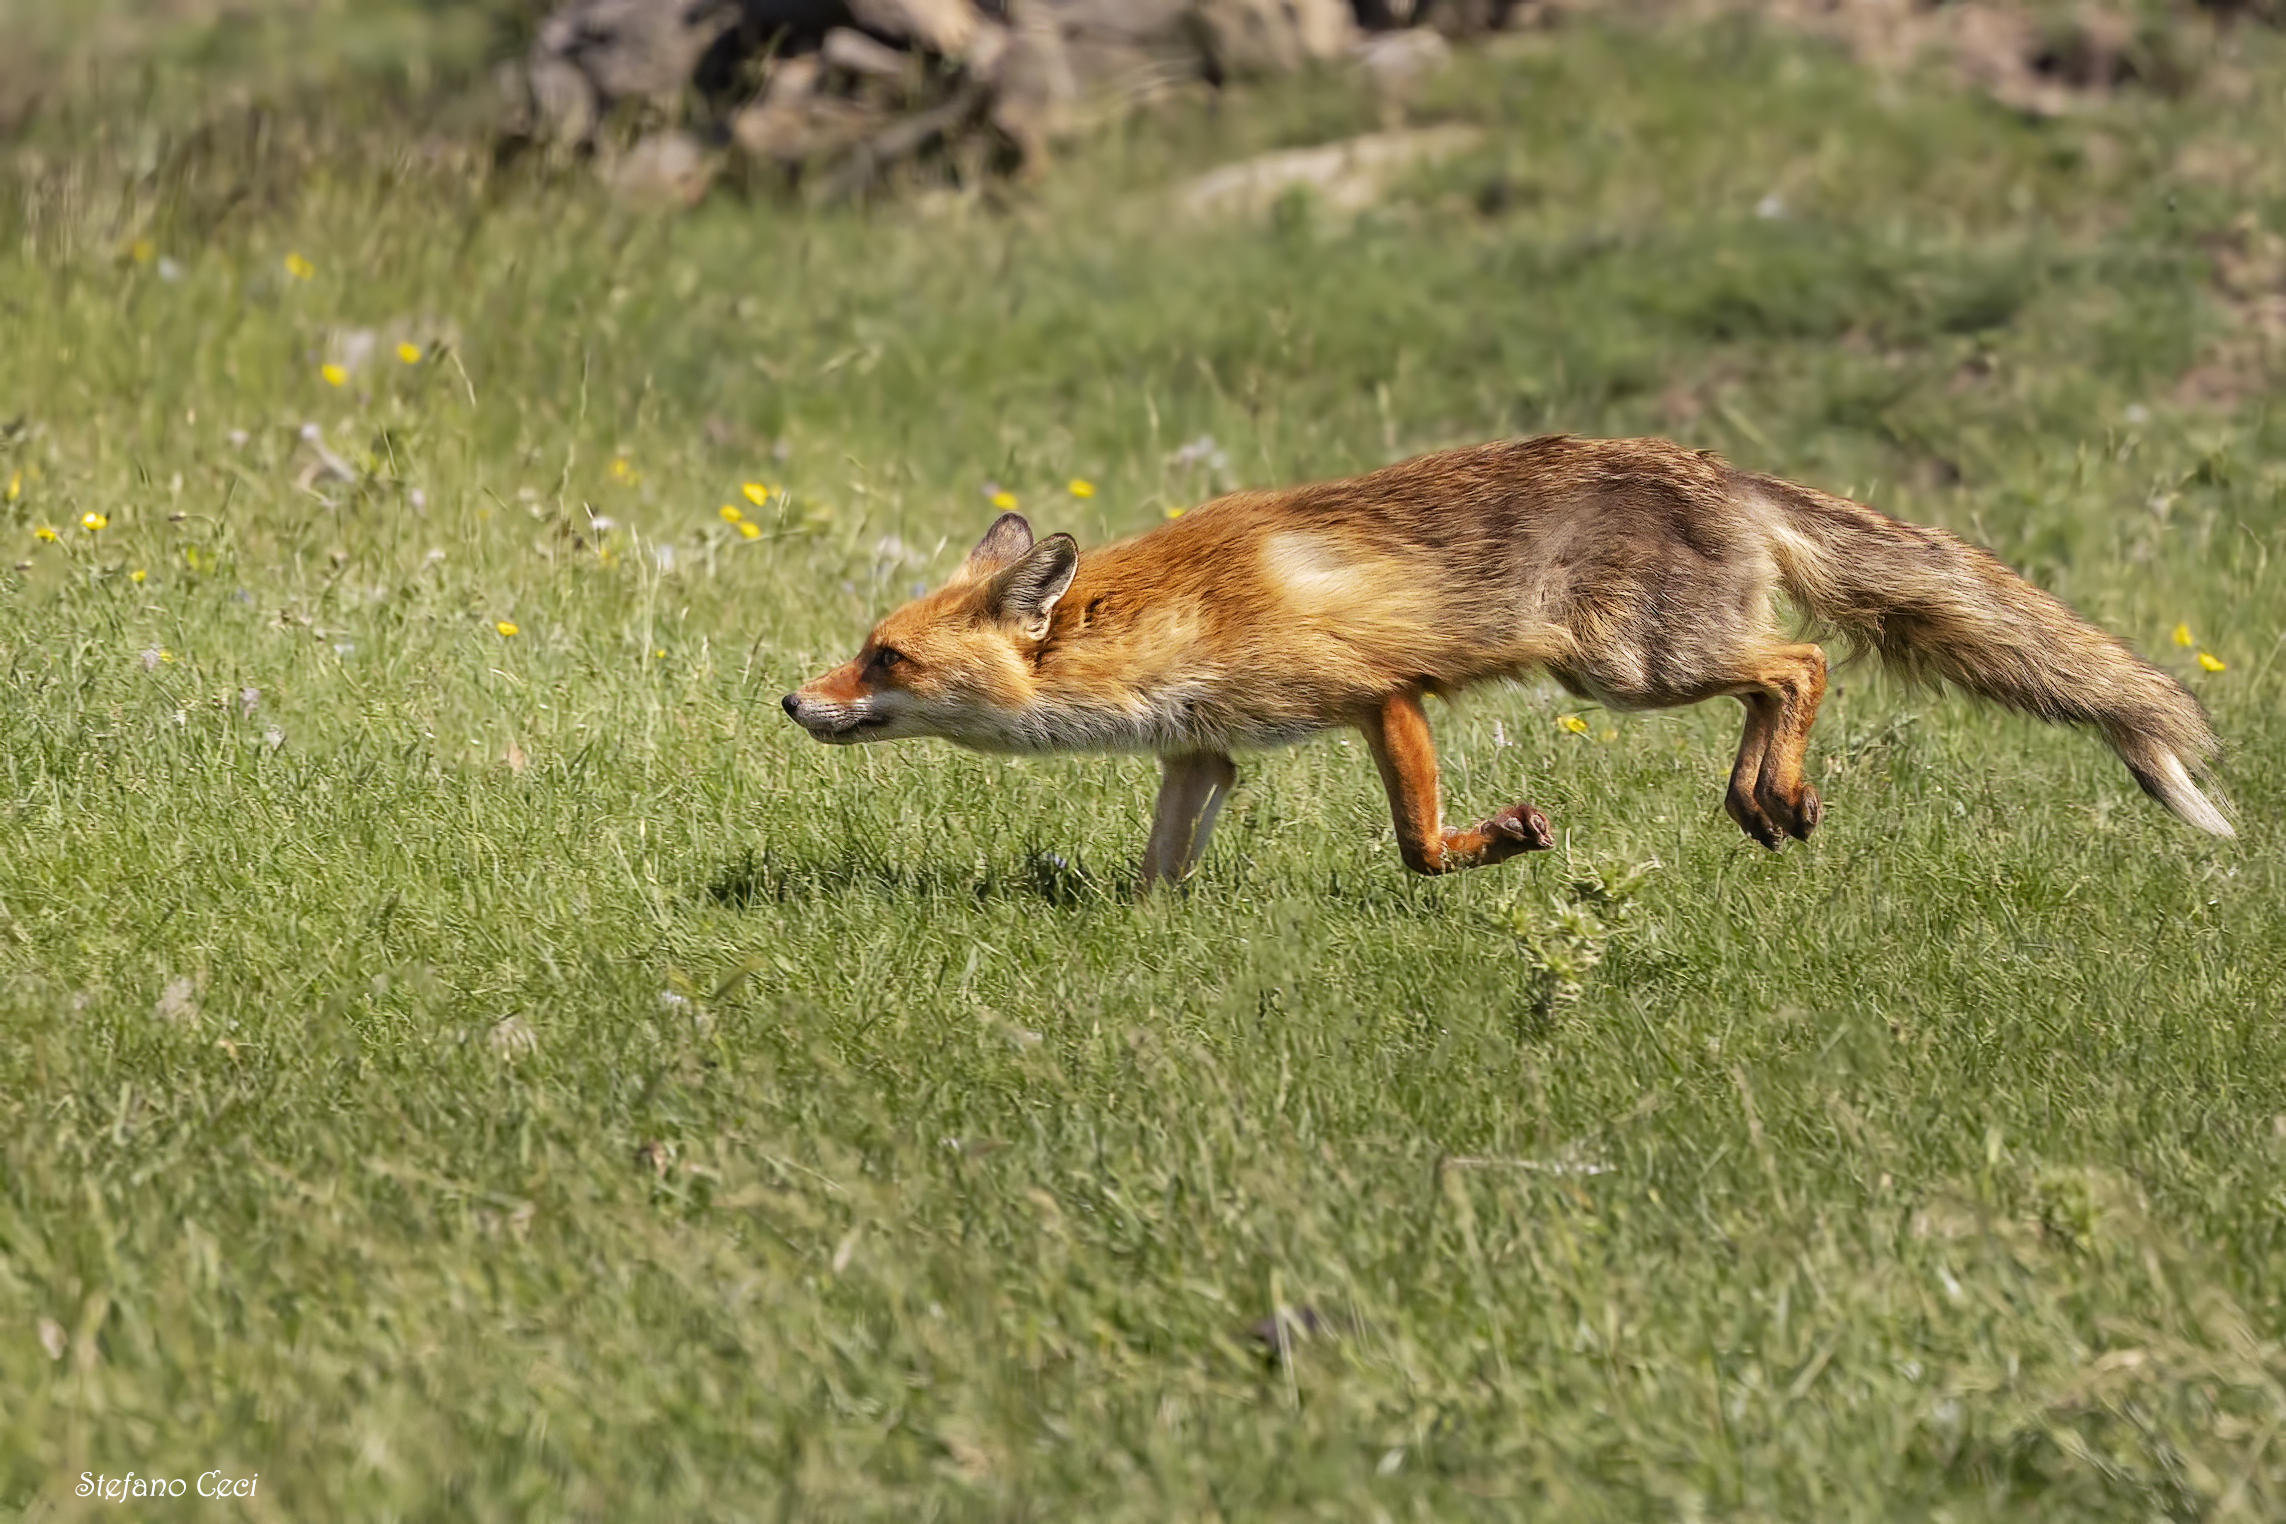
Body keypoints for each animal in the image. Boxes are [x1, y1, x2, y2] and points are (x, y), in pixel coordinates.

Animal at [783, 435, 2231, 885]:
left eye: (885, 657)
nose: (792, 699)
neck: (1174, 615)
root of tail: (1718, 468)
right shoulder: (1208, 750)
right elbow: (1157, 871)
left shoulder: (1379, 695)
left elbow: (1423, 845)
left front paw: (1508, 841)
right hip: (1639, 668)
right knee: (1792, 668)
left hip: (1629, 669)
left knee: (1800, 665)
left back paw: (1768, 795)